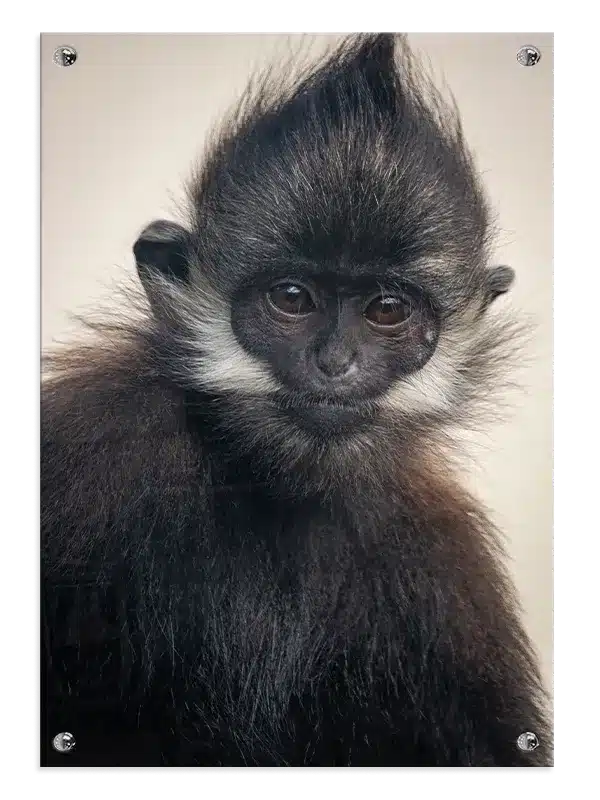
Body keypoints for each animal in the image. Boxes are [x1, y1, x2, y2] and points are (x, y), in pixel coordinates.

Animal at [41, 33, 552, 768]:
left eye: (387, 311)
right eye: (292, 299)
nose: (335, 364)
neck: (277, 493)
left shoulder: (446, 561)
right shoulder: (96, 443)